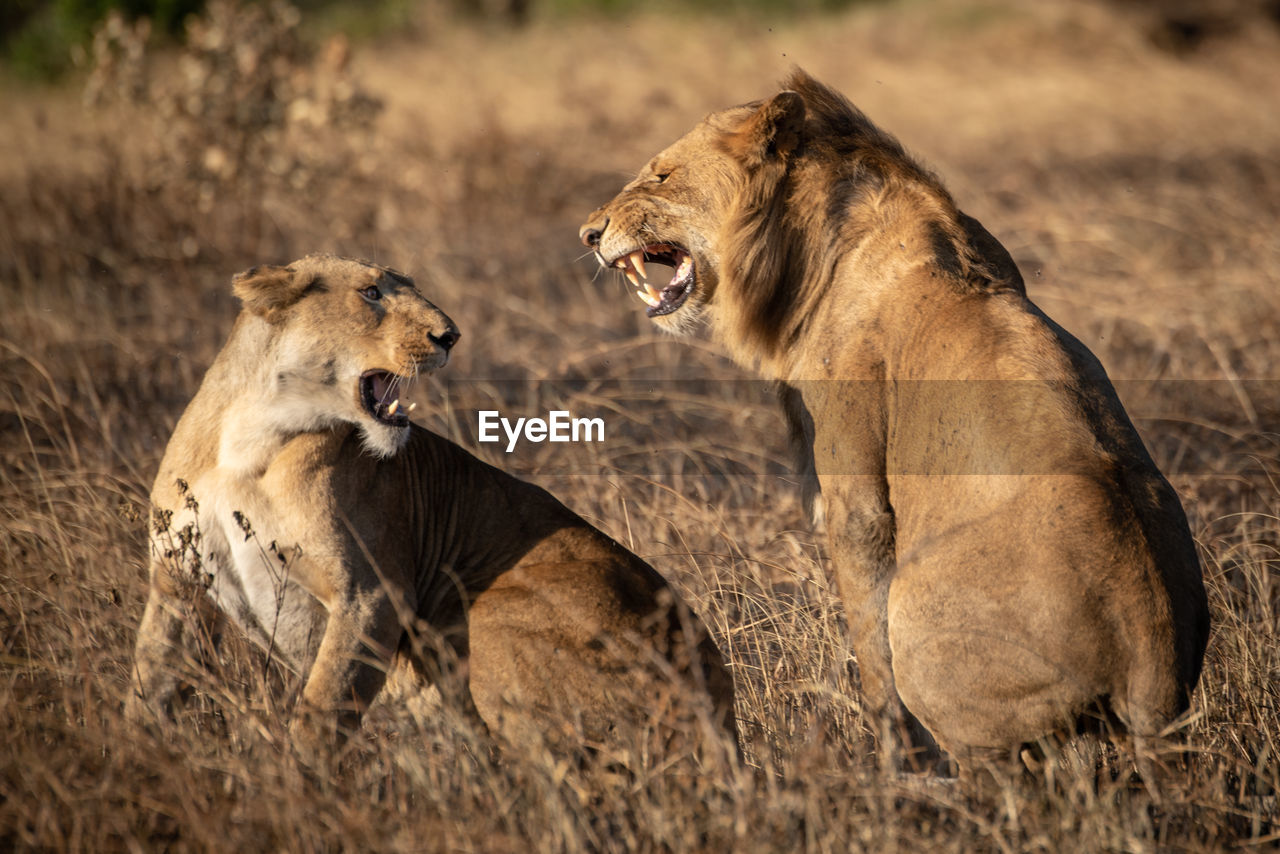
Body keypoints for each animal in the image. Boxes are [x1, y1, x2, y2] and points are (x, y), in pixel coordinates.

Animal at [127, 256, 742, 768]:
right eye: (371, 292)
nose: (450, 335)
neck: (255, 437)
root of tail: (722, 718)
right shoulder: (177, 580)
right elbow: (149, 684)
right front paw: (131, 767)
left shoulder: (372, 593)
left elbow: (323, 711)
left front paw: (297, 792)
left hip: (485, 613)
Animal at [581, 71, 1208, 773]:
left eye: (662, 175)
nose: (588, 233)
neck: (810, 250)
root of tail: (1152, 659)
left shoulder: (854, 493)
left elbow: (868, 632)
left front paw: (893, 765)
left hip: (927, 619)